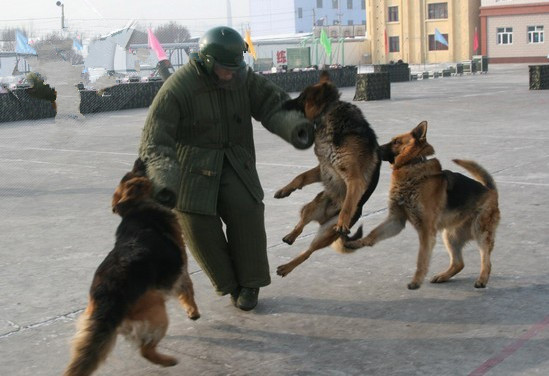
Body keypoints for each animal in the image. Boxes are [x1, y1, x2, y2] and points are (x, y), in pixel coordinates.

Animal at [64, 159, 200, 376]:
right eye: (134, 172)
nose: (140, 160)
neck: (136, 209)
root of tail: (108, 296)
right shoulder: (182, 268)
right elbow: (187, 291)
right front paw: (193, 312)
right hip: (158, 315)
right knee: (146, 350)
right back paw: (168, 361)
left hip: (89, 322)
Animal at [272, 71, 378, 276]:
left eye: (301, 99)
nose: (282, 104)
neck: (327, 114)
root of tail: (324, 218)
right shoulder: (324, 168)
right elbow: (300, 177)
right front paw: (285, 190)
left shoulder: (354, 178)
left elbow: (348, 203)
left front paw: (343, 220)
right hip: (311, 207)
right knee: (301, 224)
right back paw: (291, 235)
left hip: (326, 233)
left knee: (308, 252)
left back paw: (287, 267)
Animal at [344, 122, 498, 290]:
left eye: (396, 142)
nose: (373, 149)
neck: (412, 164)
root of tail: (490, 190)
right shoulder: (396, 220)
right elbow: (374, 233)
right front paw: (358, 242)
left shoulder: (425, 230)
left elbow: (421, 259)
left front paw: (416, 281)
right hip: (450, 236)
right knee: (459, 263)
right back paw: (443, 276)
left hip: (480, 232)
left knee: (487, 260)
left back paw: (482, 279)